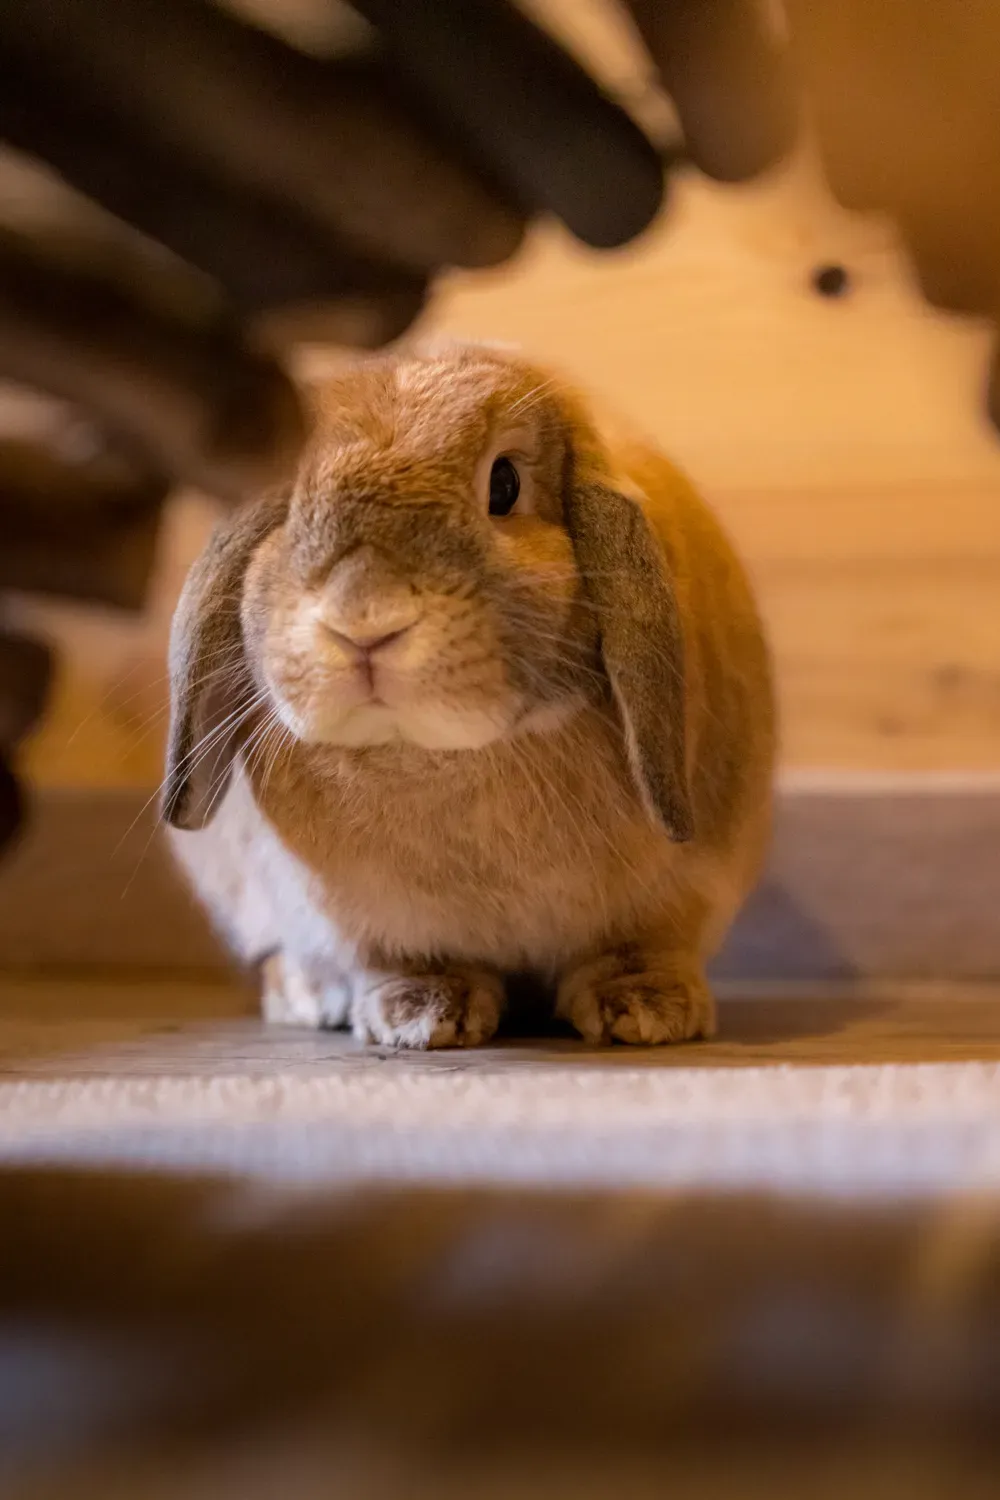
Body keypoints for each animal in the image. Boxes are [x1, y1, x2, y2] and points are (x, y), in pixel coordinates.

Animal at [163, 340, 775, 1048]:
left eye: (503, 486)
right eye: (289, 504)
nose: (364, 620)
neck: (430, 756)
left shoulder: (677, 895)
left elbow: (638, 946)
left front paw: (647, 1012)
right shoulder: (373, 919)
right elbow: (404, 959)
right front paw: (420, 1016)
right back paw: (310, 997)